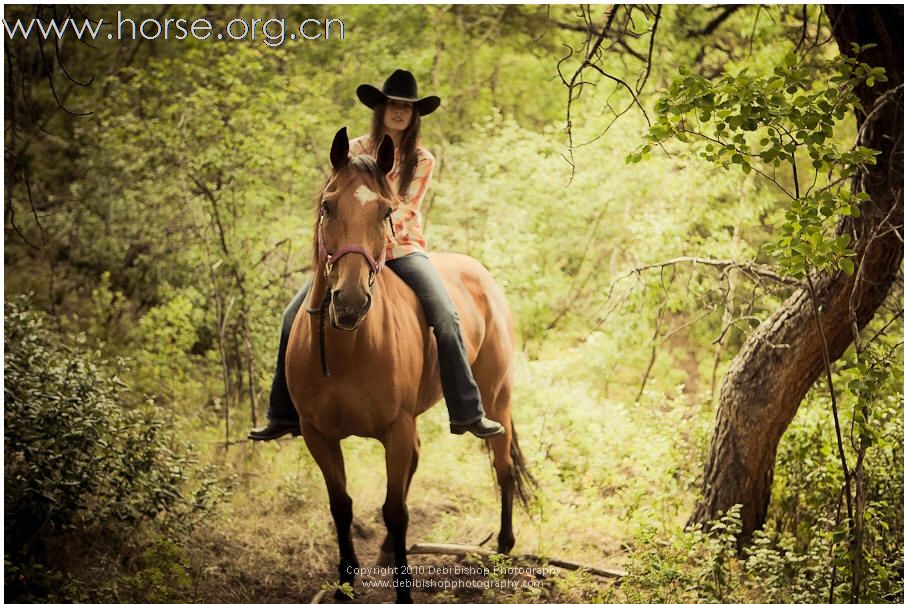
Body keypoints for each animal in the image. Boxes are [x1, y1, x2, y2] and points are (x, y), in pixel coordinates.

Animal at [286, 129, 532, 604]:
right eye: (327, 205)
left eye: (386, 211)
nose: (349, 302)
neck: (348, 349)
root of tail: (480, 272)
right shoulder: (317, 434)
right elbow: (341, 505)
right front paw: (345, 584)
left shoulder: (395, 429)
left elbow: (395, 510)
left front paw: (402, 592)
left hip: (497, 398)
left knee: (503, 465)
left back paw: (503, 547)